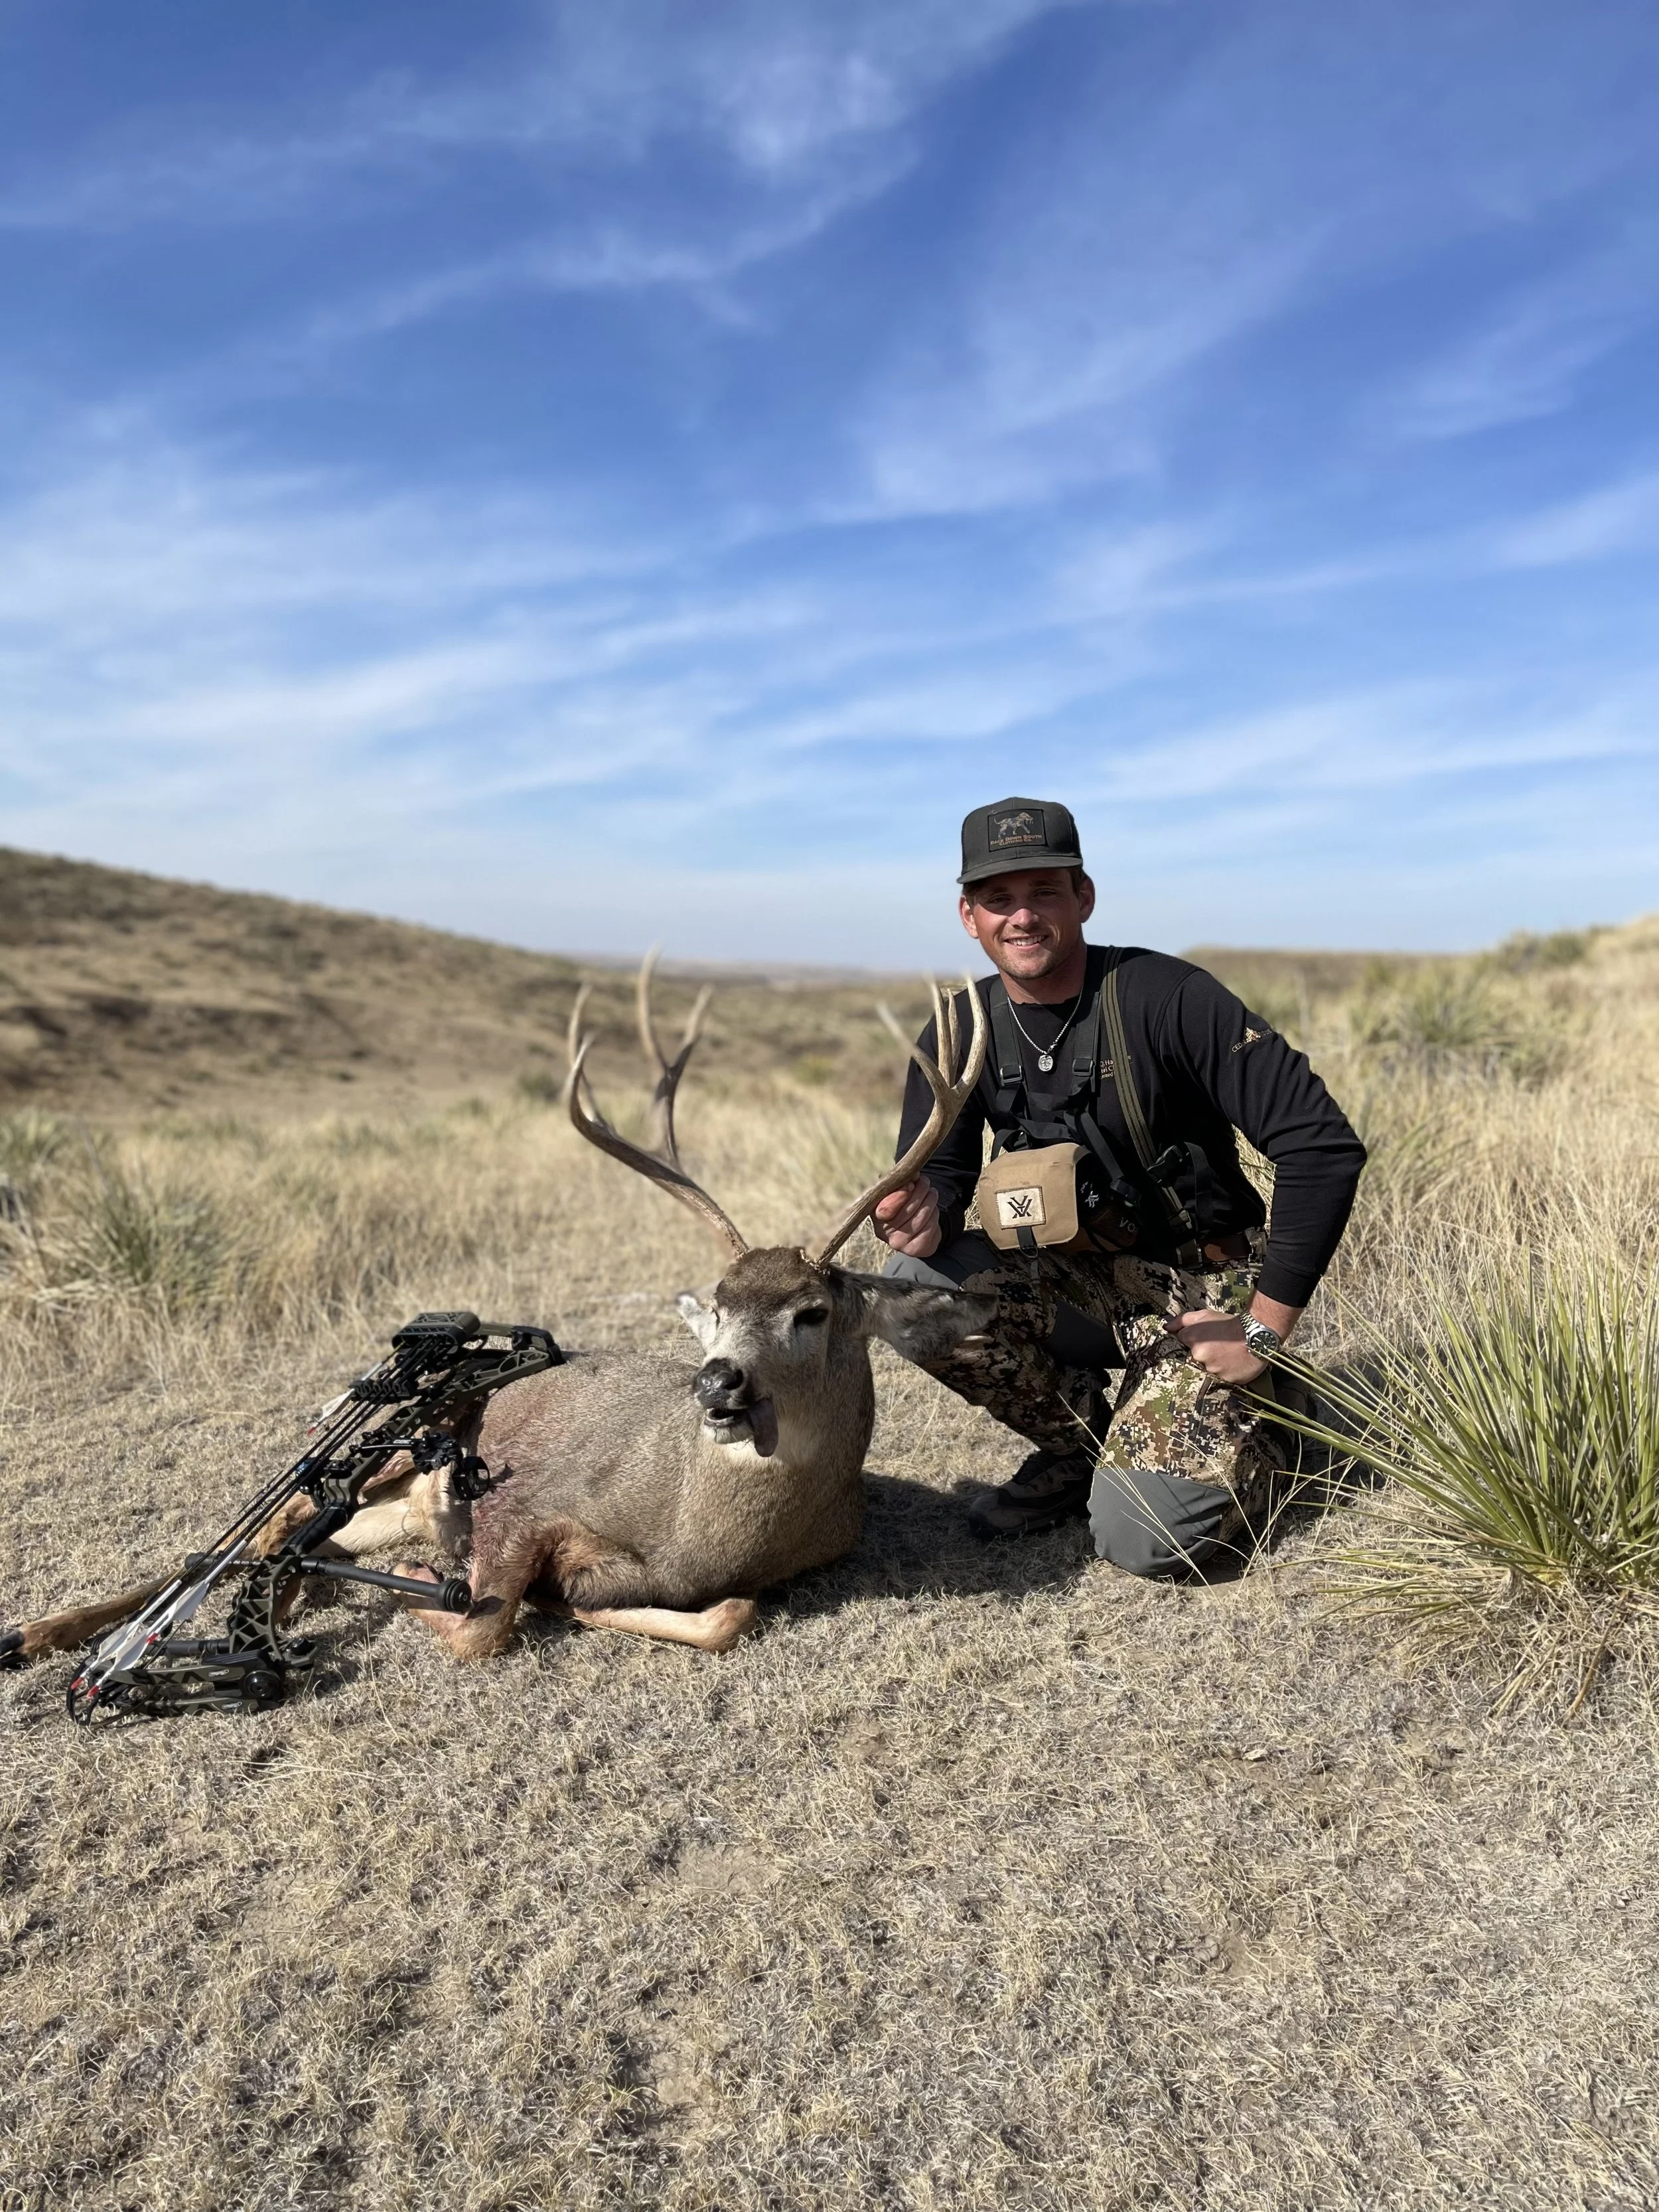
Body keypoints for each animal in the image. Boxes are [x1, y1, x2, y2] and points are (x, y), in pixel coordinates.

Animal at [2, 959, 993, 1672]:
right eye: (716, 1305)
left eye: (812, 1310)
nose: (719, 1384)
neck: (694, 1528)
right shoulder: (525, 1499)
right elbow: (485, 1623)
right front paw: (424, 1589)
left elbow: (724, 1617)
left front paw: (553, 1596)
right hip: (402, 1443)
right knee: (260, 1532)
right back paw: (63, 1629)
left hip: (396, 1494)